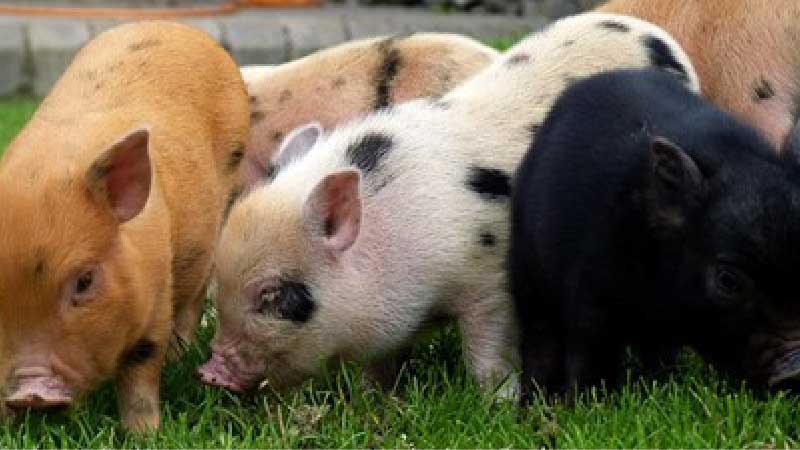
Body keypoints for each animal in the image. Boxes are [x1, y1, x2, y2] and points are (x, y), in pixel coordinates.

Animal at [0, 21, 249, 431]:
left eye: (85, 281)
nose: (31, 392)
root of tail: (177, 27)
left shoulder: (156, 295)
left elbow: (140, 374)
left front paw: (145, 434)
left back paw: (179, 357)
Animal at [509, 68, 800, 403]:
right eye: (728, 280)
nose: (795, 369)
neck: (659, 299)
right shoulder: (591, 290)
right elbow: (591, 351)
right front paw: (587, 403)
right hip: (527, 271)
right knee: (539, 337)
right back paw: (532, 404)